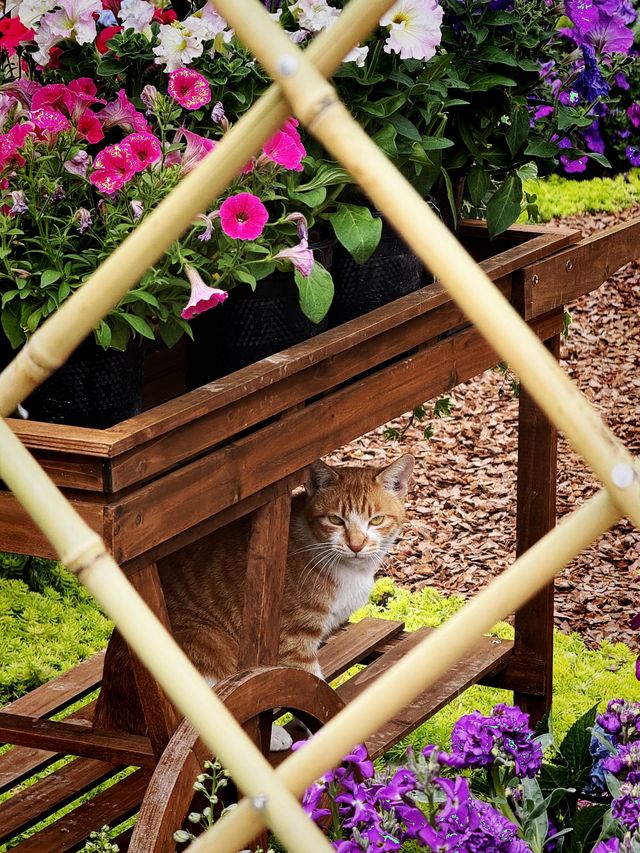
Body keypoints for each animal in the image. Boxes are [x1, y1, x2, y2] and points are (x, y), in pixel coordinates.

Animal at [95, 452, 416, 744]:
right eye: (336, 520)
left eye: (376, 520)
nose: (356, 545)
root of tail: (105, 714)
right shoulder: (293, 644)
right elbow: (310, 691)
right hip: (207, 643)